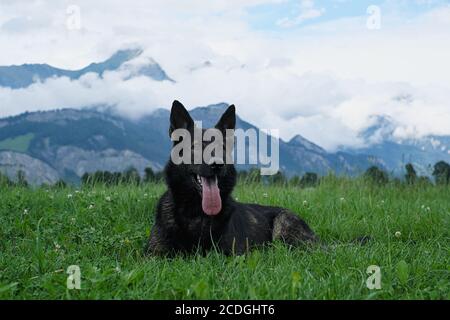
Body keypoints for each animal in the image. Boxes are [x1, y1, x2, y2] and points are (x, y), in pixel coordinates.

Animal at [145, 100, 316, 255]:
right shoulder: (154, 255)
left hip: (283, 223)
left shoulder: (231, 256)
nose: (217, 164)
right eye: (196, 147)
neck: (196, 212)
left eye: (222, 148)